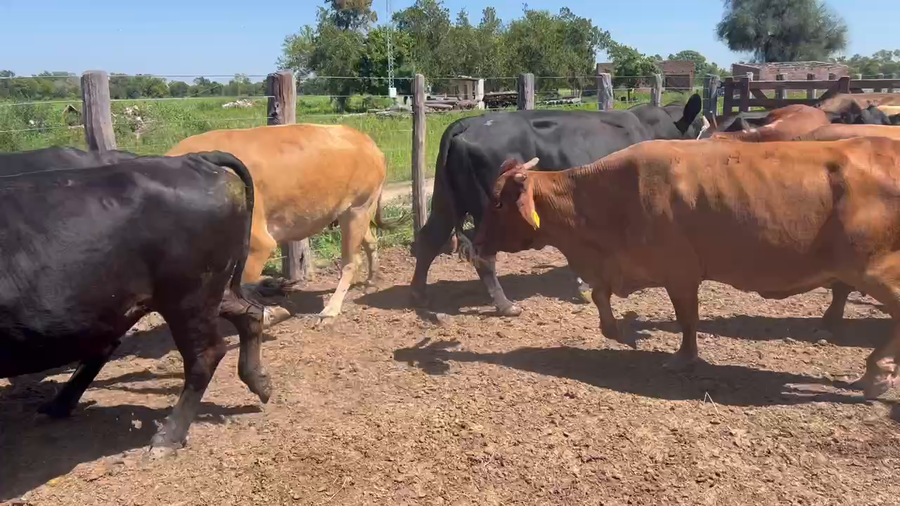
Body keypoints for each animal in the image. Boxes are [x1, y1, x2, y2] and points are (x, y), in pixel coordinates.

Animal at [0, 148, 271, 449]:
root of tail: (195, 159)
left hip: (188, 298)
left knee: (206, 353)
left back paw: (168, 437)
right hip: (202, 292)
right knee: (249, 312)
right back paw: (260, 382)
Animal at [166, 124, 405, 325]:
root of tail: (365, 139)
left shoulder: (257, 243)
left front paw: (271, 314)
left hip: (356, 209)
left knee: (351, 261)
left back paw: (330, 310)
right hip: (357, 212)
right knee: (371, 242)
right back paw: (371, 280)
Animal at [409, 94, 704, 316]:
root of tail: (467, 123)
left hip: (445, 201)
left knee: (429, 238)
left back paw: (419, 294)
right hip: (487, 209)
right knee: (482, 256)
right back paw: (505, 305)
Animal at [473, 137, 900, 400]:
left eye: (497, 203)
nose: (475, 243)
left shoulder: (679, 271)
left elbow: (687, 319)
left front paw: (683, 358)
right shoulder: (621, 264)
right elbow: (599, 296)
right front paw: (621, 332)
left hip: (874, 270)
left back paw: (876, 371)